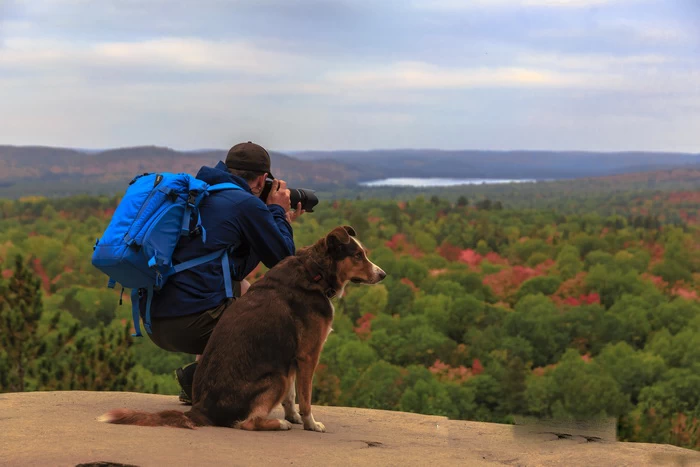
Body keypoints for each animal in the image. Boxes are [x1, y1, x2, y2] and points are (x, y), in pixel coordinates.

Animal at [98, 225, 386, 434]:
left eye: (364, 253)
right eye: (357, 255)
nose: (382, 274)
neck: (314, 272)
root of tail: (200, 409)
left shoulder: (290, 358)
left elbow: (291, 397)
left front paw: (293, 416)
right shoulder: (307, 356)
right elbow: (305, 397)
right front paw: (310, 424)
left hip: (281, 371)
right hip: (276, 376)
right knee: (246, 423)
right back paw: (277, 424)